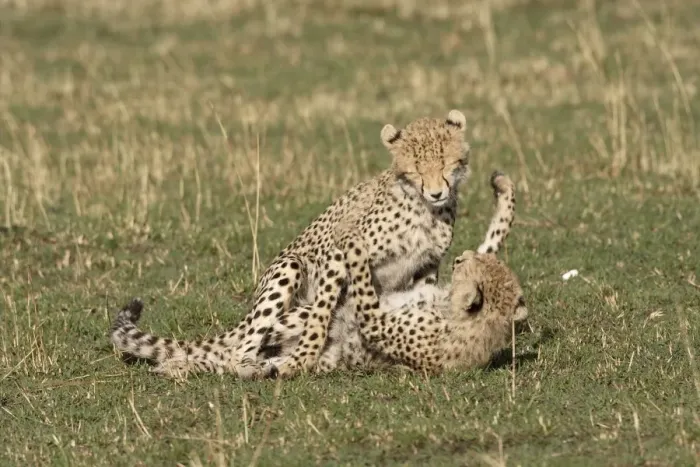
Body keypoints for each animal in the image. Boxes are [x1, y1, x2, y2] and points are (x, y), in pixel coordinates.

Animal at [110, 109, 472, 379]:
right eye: (415, 169)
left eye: (447, 162)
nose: (436, 192)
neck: (424, 209)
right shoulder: (337, 252)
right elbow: (323, 313)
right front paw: (304, 357)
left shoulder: (426, 265)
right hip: (290, 267)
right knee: (240, 349)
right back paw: (247, 368)